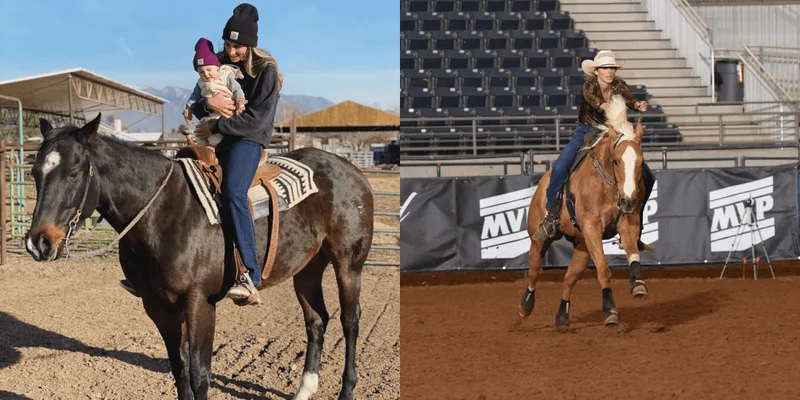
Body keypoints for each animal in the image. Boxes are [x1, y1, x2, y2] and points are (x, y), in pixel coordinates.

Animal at [24, 114, 374, 400]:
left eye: (73, 172)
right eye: (34, 173)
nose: (38, 243)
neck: (161, 212)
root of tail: (351, 170)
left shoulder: (199, 301)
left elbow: (199, 374)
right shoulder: (157, 305)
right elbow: (179, 372)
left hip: (348, 264)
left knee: (350, 321)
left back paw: (346, 390)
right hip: (307, 268)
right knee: (316, 320)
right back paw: (304, 389)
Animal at [518, 95, 649, 329]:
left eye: (641, 162)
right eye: (616, 161)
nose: (628, 201)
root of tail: (542, 182)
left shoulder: (627, 223)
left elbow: (633, 253)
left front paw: (638, 285)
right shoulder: (592, 229)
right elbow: (604, 271)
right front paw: (610, 312)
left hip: (582, 245)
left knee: (570, 276)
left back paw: (562, 316)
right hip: (539, 239)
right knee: (534, 271)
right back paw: (525, 306)